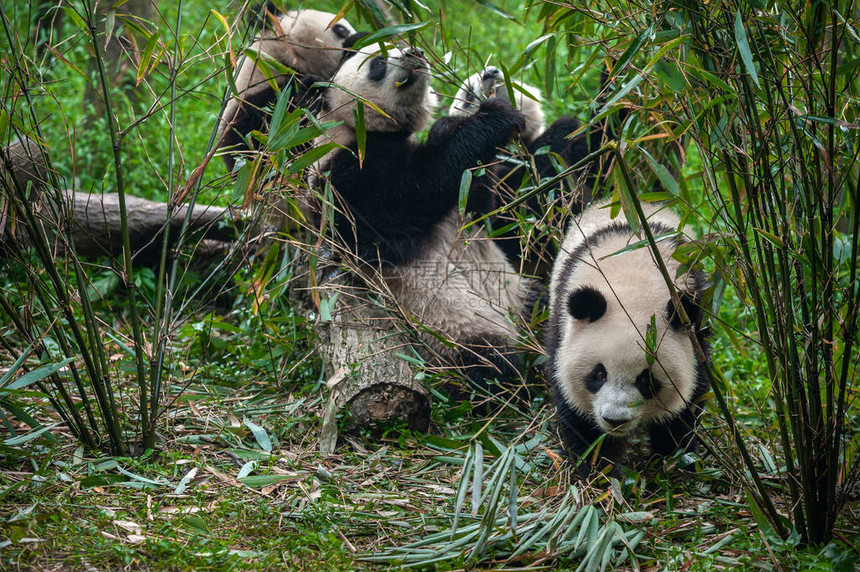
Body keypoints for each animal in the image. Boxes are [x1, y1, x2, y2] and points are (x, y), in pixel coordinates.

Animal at [310, 45, 536, 388]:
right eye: (377, 62)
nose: (414, 52)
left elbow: (476, 208)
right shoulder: (344, 179)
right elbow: (414, 190)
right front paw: (495, 116)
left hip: (519, 290)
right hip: (453, 328)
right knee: (489, 361)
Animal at [548, 199, 708, 472]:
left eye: (647, 380)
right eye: (598, 374)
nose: (615, 420)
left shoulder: (694, 325)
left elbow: (686, 405)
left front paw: (673, 460)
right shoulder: (561, 327)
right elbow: (578, 416)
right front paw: (595, 467)